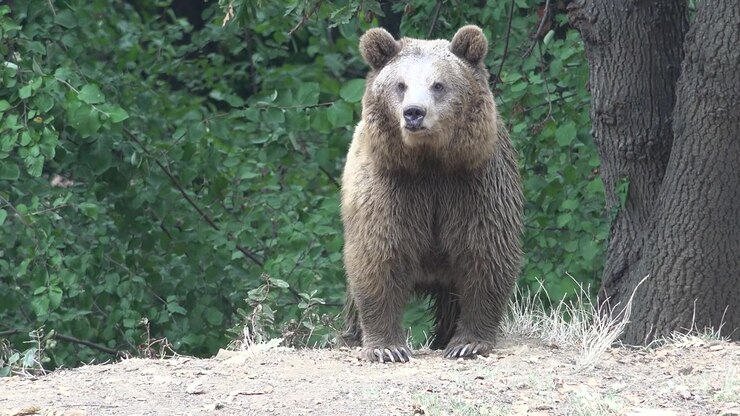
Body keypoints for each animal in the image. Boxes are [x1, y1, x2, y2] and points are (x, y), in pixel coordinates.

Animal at [340, 25, 523, 363]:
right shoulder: (392, 187)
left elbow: (485, 251)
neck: (430, 163)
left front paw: (467, 343)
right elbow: (379, 255)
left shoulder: (474, 184)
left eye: (438, 84)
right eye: (401, 84)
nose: (414, 113)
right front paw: (388, 347)